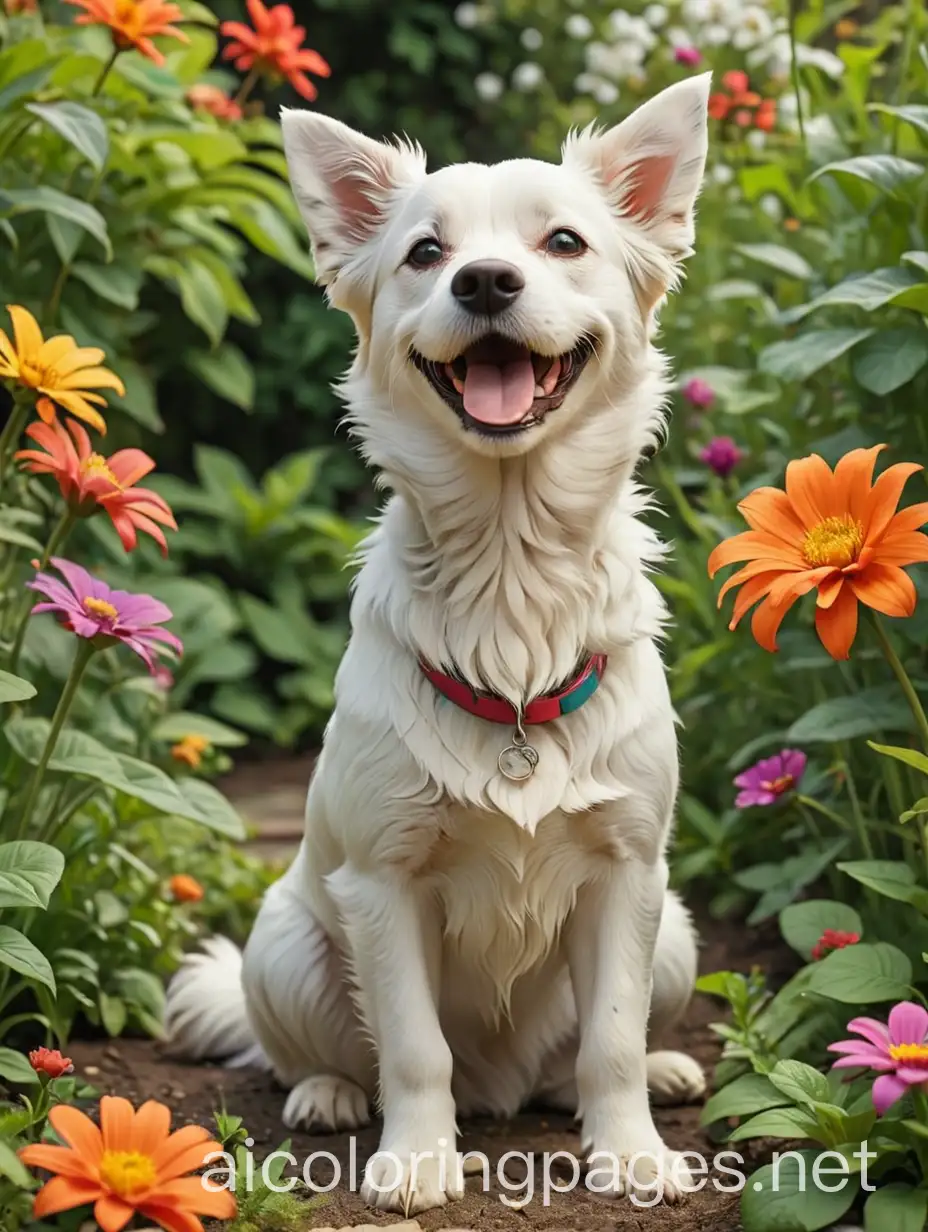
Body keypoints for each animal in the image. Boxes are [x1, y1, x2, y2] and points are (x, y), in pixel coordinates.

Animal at [165, 74, 709, 1212]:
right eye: (425, 251)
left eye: (563, 240)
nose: (486, 282)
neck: (509, 573)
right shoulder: (385, 881)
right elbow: (414, 1048)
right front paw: (416, 1158)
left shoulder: (629, 871)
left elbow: (612, 1039)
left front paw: (631, 1151)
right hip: (283, 945)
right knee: (320, 1051)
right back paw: (328, 1092)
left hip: (676, 928)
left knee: (576, 1059)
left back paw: (658, 1072)